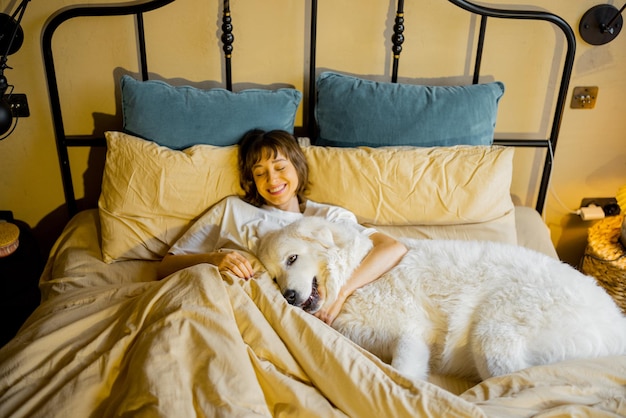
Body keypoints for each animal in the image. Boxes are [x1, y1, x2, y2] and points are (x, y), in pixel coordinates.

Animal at [256, 217, 624, 384]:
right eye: (273, 277)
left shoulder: (410, 333)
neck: (356, 274)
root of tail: (615, 324)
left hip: (492, 336)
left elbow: (402, 372)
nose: (289, 297)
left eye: (292, 259)